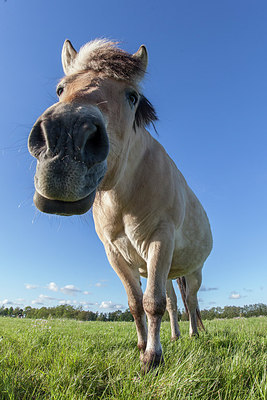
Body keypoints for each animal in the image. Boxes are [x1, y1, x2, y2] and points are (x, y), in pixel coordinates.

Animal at [27, 38, 214, 372]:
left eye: (132, 96)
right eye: (60, 89)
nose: (65, 143)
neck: (125, 197)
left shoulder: (160, 240)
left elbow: (152, 303)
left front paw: (152, 359)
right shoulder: (115, 254)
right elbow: (136, 303)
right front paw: (142, 346)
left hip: (193, 271)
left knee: (191, 302)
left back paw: (193, 335)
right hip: (167, 271)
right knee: (174, 302)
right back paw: (176, 337)